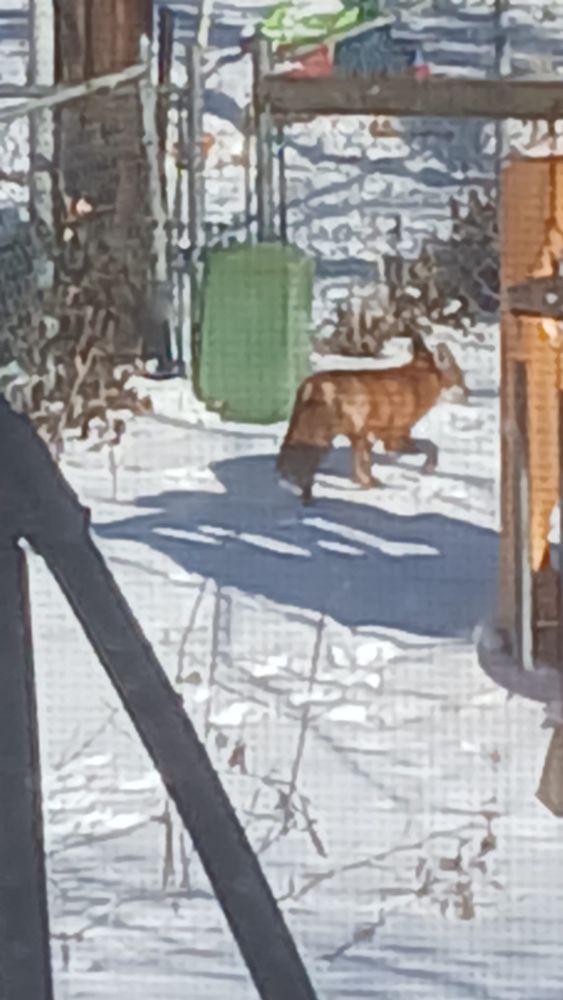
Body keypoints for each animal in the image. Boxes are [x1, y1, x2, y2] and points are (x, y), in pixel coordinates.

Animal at [277, 331, 468, 504]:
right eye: (461, 377)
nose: (468, 393)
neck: (416, 384)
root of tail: (311, 385)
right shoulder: (394, 437)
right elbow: (431, 446)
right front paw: (428, 467)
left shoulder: (372, 437)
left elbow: (364, 465)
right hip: (329, 439)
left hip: (327, 437)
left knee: (289, 458)